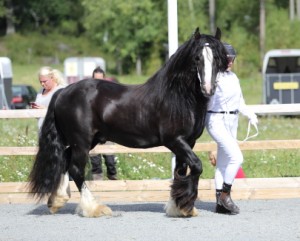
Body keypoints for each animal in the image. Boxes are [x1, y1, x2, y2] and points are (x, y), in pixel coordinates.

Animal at [29, 27, 227, 217]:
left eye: (217, 57)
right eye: (197, 58)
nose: (208, 89)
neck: (177, 97)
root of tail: (62, 92)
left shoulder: (188, 142)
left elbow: (180, 171)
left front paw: (177, 208)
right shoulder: (175, 141)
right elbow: (196, 166)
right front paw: (185, 207)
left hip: (88, 141)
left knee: (65, 159)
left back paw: (57, 201)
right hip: (82, 142)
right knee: (76, 169)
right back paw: (94, 208)